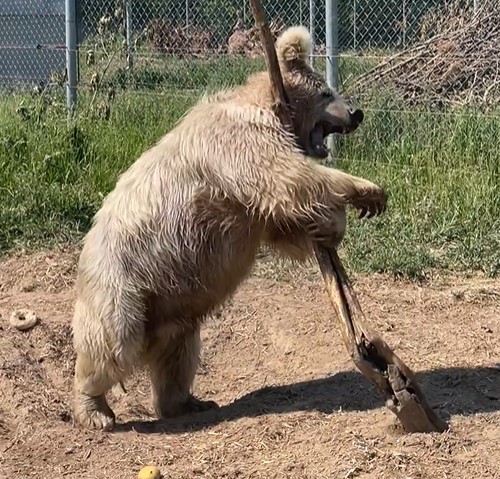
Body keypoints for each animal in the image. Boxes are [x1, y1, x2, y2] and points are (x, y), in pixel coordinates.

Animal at [72, 25, 386, 432]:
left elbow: (282, 223)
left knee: (178, 354)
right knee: (111, 344)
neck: (269, 110)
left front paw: (331, 226)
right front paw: (366, 192)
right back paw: (95, 410)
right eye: (326, 92)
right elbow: (290, 178)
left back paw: (188, 401)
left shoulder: (248, 201)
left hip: (172, 300)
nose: (355, 113)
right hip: (122, 286)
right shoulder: (238, 144)